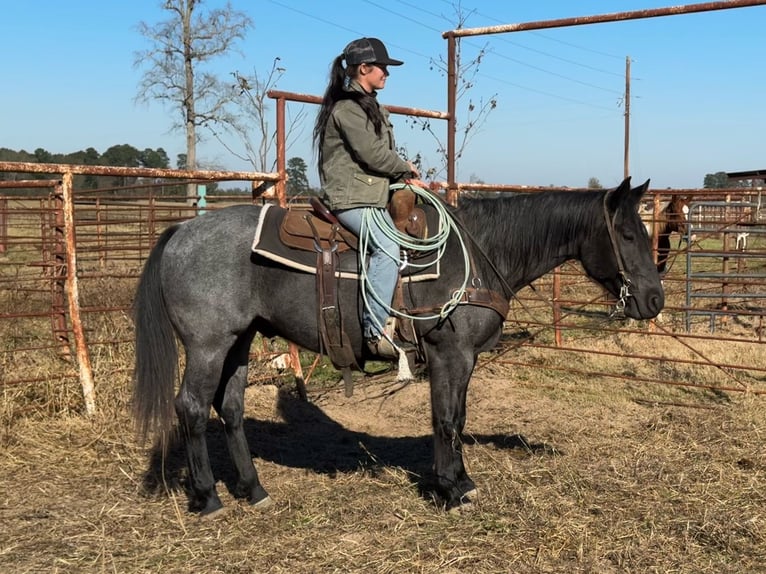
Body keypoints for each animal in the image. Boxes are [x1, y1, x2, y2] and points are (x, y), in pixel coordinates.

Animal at [134, 177, 664, 516]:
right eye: (627, 233)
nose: (655, 299)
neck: (476, 257)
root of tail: (182, 231)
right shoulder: (451, 354)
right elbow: (446, 419)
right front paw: (451, 489)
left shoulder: (463, 359)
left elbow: (458, 417)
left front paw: (457, 481)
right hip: (208, 345)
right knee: (192, 407)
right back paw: (208, 498)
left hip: (239, 342)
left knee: (231, 408)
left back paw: (252, 488)